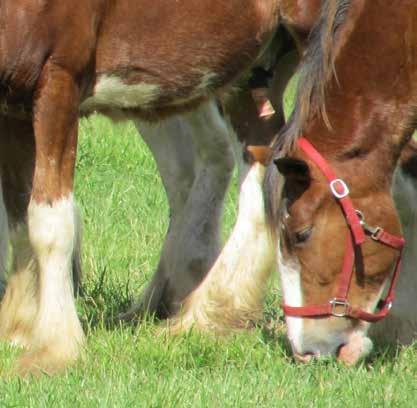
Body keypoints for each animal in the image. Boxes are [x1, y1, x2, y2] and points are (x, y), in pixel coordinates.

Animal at [0, 1, 282, 374]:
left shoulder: (58, 78)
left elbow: (49, 224)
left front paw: (55, 347)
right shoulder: (13, 103)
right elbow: (20, 223)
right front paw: (19, 326)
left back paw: (210, 311)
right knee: (212, 163)